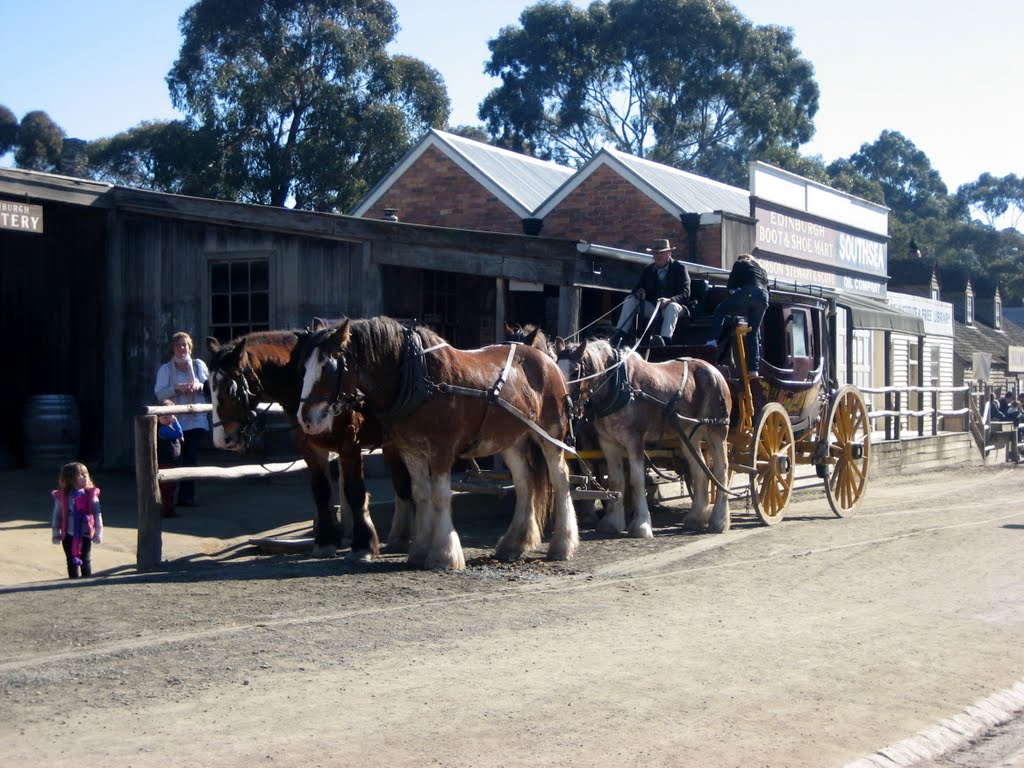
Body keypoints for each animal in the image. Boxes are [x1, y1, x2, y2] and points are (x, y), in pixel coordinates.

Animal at [203, 327, 411, 561]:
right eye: (207, 388)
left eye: (230, 388)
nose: (222, 439)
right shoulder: (310, 448)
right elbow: (321, 491)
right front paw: (326, 542)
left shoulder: (350, 446)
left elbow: (354, 492)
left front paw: (363, 545)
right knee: (402, 483)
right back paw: (400, 538)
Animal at [299, 315, 581, 573]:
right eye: (303, 365)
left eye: (329, 365)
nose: (306, 419)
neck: (418, 378)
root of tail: (546, 360)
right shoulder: (410, 451)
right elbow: (421, 494)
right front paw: (420, 550)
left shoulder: (442, 450)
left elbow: (440, 496)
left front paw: (444, 555)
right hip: (512, 440)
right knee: (524, 484)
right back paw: (514, 544)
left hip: (551, 433)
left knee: (560, 480)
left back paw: (562, 544)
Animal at [557, 335, 733, 536]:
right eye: (556, 365)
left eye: (575, 372)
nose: (563, 403)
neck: (618, 385)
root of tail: (714, 370)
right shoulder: (608, 443)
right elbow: (616, 480)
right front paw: (612, 522)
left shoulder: (634, 440)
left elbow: (636, 480)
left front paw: (641, 525)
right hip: (689, 434)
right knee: (699, 470)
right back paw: (696, 517)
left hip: (717, 429)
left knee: (721, 470)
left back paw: (719, 520)